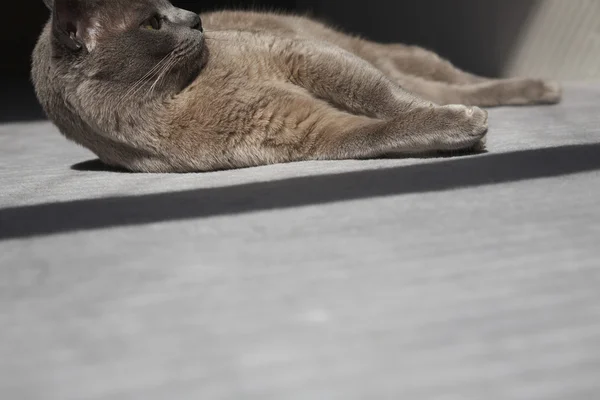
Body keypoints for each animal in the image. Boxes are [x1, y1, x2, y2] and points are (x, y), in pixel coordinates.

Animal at [30, 0, 560, 172]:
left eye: (168, 4)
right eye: (153, 22)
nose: (195, 17)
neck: (177, 94)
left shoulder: (302, 55)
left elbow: (385, 99)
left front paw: (462, 123)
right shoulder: (306, 132)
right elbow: (375, 132)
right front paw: (457, 129)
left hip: (380, 53)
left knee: (450, 78)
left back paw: (540, 88)